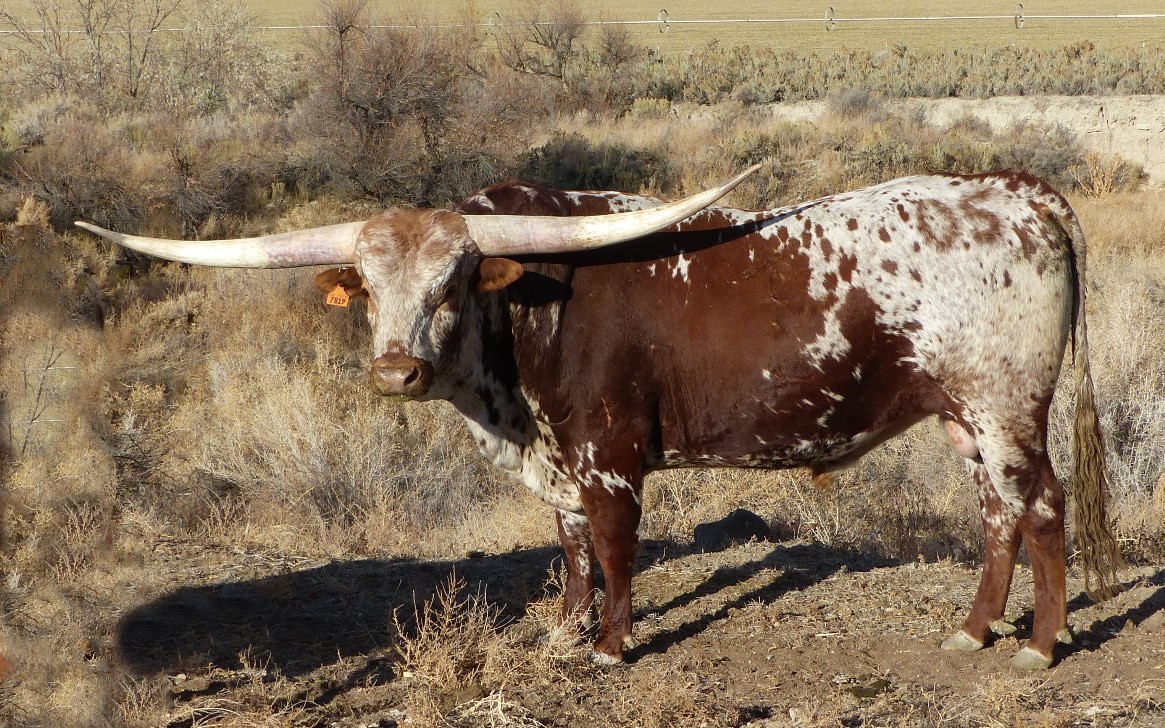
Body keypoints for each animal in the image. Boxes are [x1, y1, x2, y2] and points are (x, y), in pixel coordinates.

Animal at [77, 167, 1120, 670]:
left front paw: (612, 645)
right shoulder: (555, 462)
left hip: (1003, 406)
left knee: (1038, 511)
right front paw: (563, 629)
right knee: (999, 516)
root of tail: (1013, 188)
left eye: (455, 280)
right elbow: (570, 544)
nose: (396, 370)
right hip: (961, 417)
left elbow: (615, 547)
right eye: (368, 285)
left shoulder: (609, 453)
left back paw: (1035, 646)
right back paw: (977, 631)